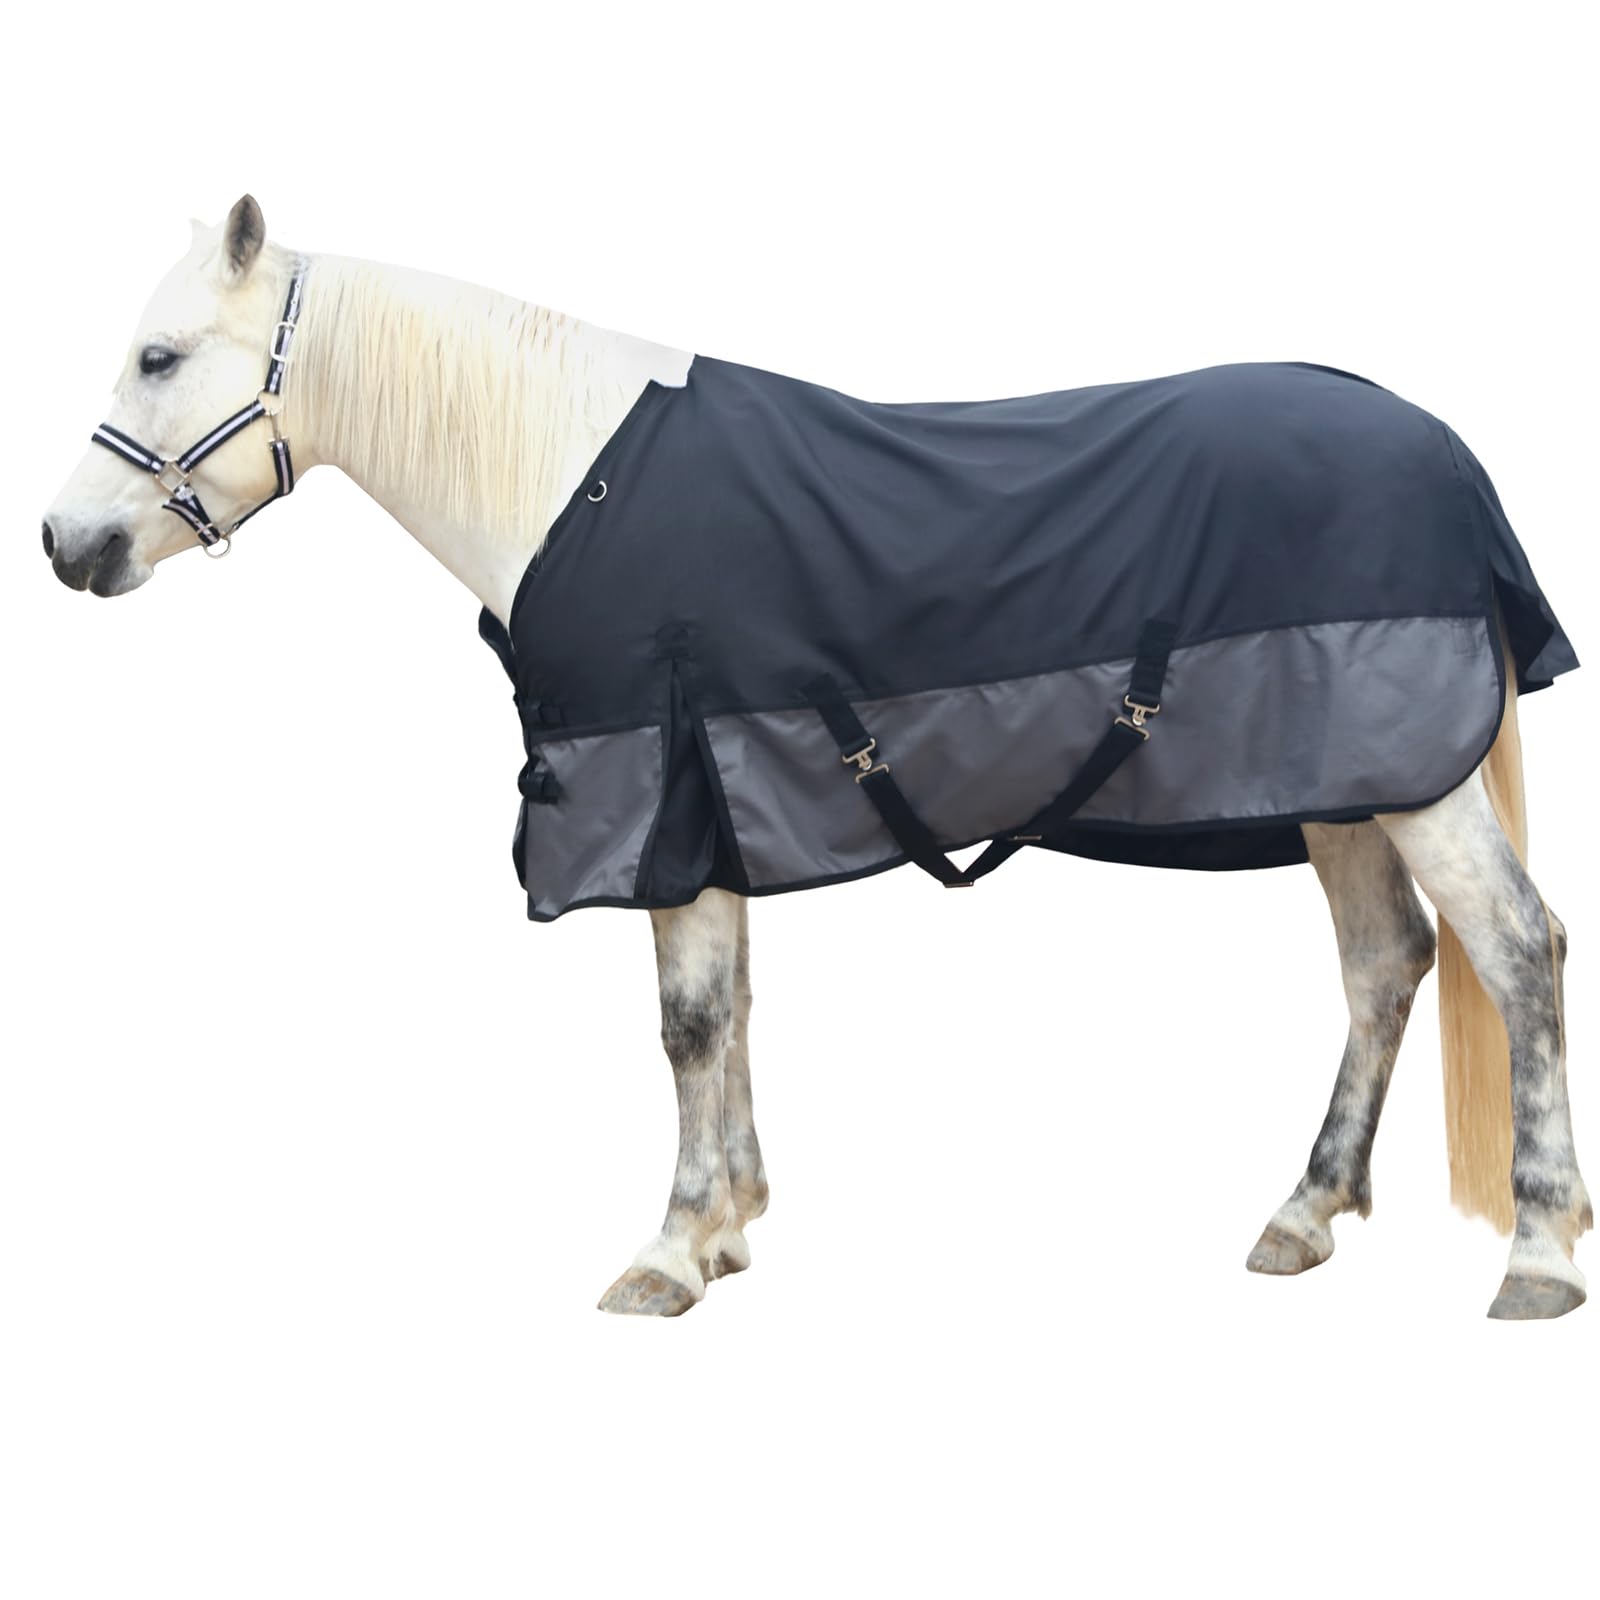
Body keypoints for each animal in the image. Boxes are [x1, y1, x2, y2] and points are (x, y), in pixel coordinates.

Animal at [41, 195, 1590, 1320]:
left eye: (161, 357)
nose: (65, 544)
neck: (569, 479)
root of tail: (1442, 452)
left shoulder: (660, 796)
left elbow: (686, 1023)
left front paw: (668, 1253)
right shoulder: (710, 798)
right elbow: (725, 1013)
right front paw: (728, 1228)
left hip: (1413, 784)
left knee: (1517, 950)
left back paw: (1538, 1253)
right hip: (1348, 788)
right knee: (1386, 963)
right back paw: (1303, 1213)